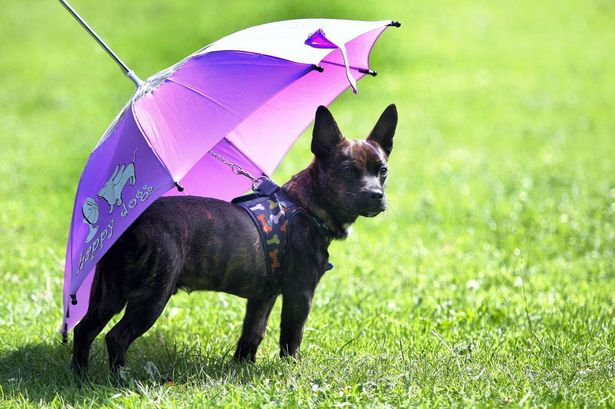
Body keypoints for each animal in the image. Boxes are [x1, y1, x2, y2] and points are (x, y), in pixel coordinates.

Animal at [71, 103, 400, 372]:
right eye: (348, 171)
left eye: (383, 170)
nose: (376, 194)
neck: (304, 206)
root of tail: (130, 226)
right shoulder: (300, 295)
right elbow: (291, 337)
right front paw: (291, 370)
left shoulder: (262, 298)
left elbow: (252, 334)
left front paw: (243, 368)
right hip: (152, 296)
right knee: (116, 337)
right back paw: (121, 380)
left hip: (109, 294)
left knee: (84, 330)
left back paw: (81, 377)